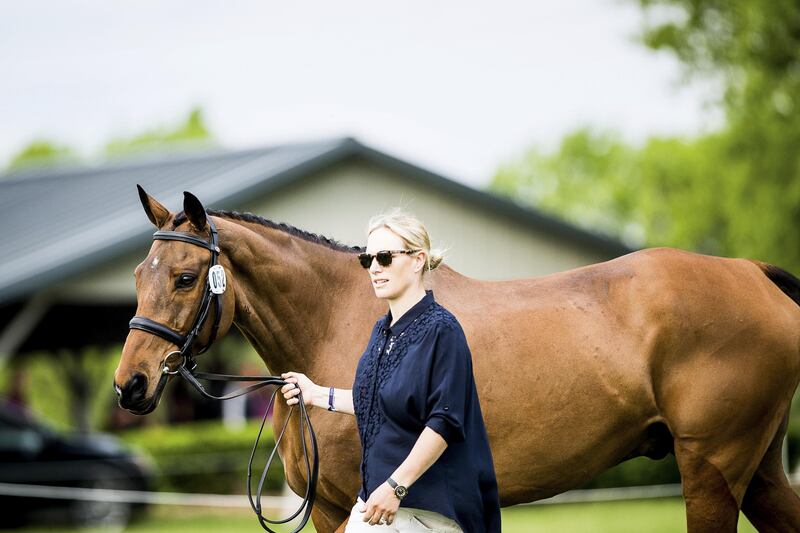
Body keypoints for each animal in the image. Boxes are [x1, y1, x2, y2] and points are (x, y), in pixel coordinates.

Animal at [115, 188, 800, 532]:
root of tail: (753, 273)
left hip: (711, 472)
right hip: (757, 470)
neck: (337, 321)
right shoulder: (332, 511)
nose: (130, 385)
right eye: (138, 274)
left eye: (183, 278)